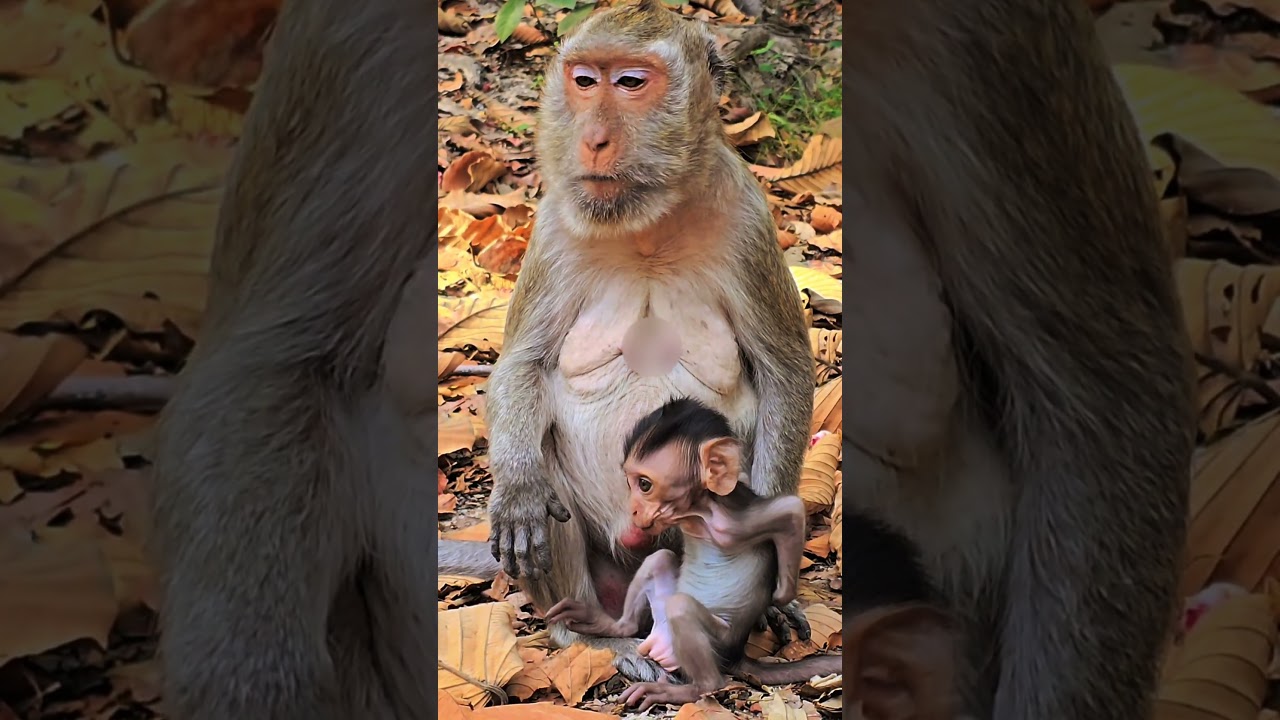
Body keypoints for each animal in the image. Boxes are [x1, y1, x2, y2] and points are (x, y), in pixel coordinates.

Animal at [443, 0, 818, 682]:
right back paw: (591, 640)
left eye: (631, 83)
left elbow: (784, 371)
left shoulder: (749, 219)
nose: (592, 137)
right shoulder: (553, 227)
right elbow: (523, 366)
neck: (648, 225)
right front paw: (519, 492)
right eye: (585, 81)